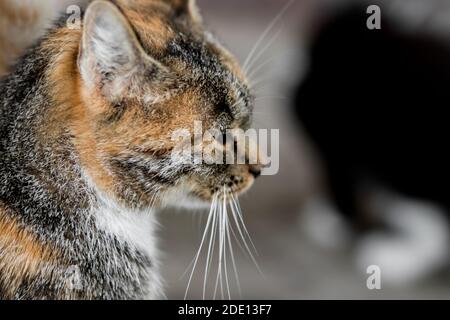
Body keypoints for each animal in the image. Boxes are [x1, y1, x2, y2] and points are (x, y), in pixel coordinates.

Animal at [294, 3, 450, 284]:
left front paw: (332, 221)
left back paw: (394, 257)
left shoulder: (333, 145)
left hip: (407, 169)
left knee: (432, 226)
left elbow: (338, 183)